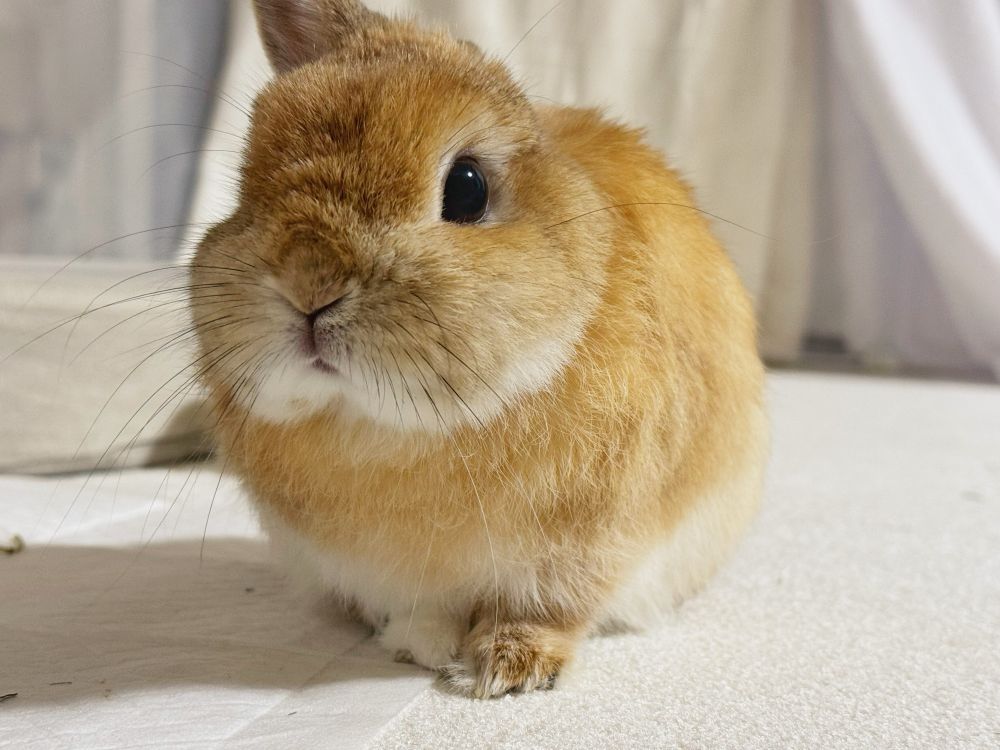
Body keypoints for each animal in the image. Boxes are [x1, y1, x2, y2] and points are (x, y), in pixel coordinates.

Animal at [189, 0, 767, 698]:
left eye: (467, 189)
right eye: (247, 180)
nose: (309, 282)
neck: (388, 436)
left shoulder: (586, 552)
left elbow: (548, 610)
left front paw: (508, 668)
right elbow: (424, 610)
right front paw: (420, 646)